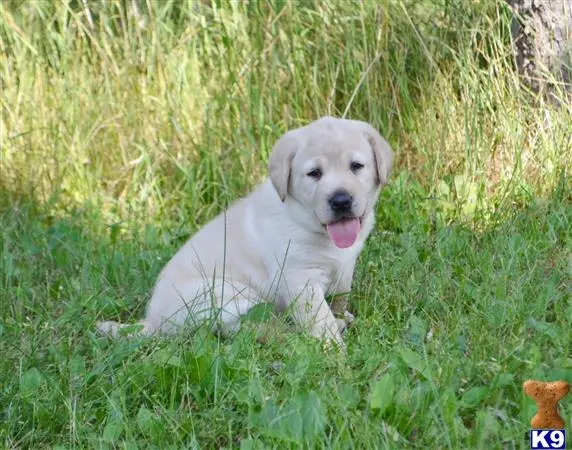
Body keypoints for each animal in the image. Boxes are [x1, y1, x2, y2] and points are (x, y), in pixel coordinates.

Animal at [98, 117, 394, 348]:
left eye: (356, 166)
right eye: (314, 173)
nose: (341, 200)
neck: (306, 220)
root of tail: (153, 322)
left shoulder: (345, 265)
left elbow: (340, 296)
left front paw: (341, 317)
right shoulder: (299, 279)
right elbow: (318, 317)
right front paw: (332, 347)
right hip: (226, 295)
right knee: (248, 329)